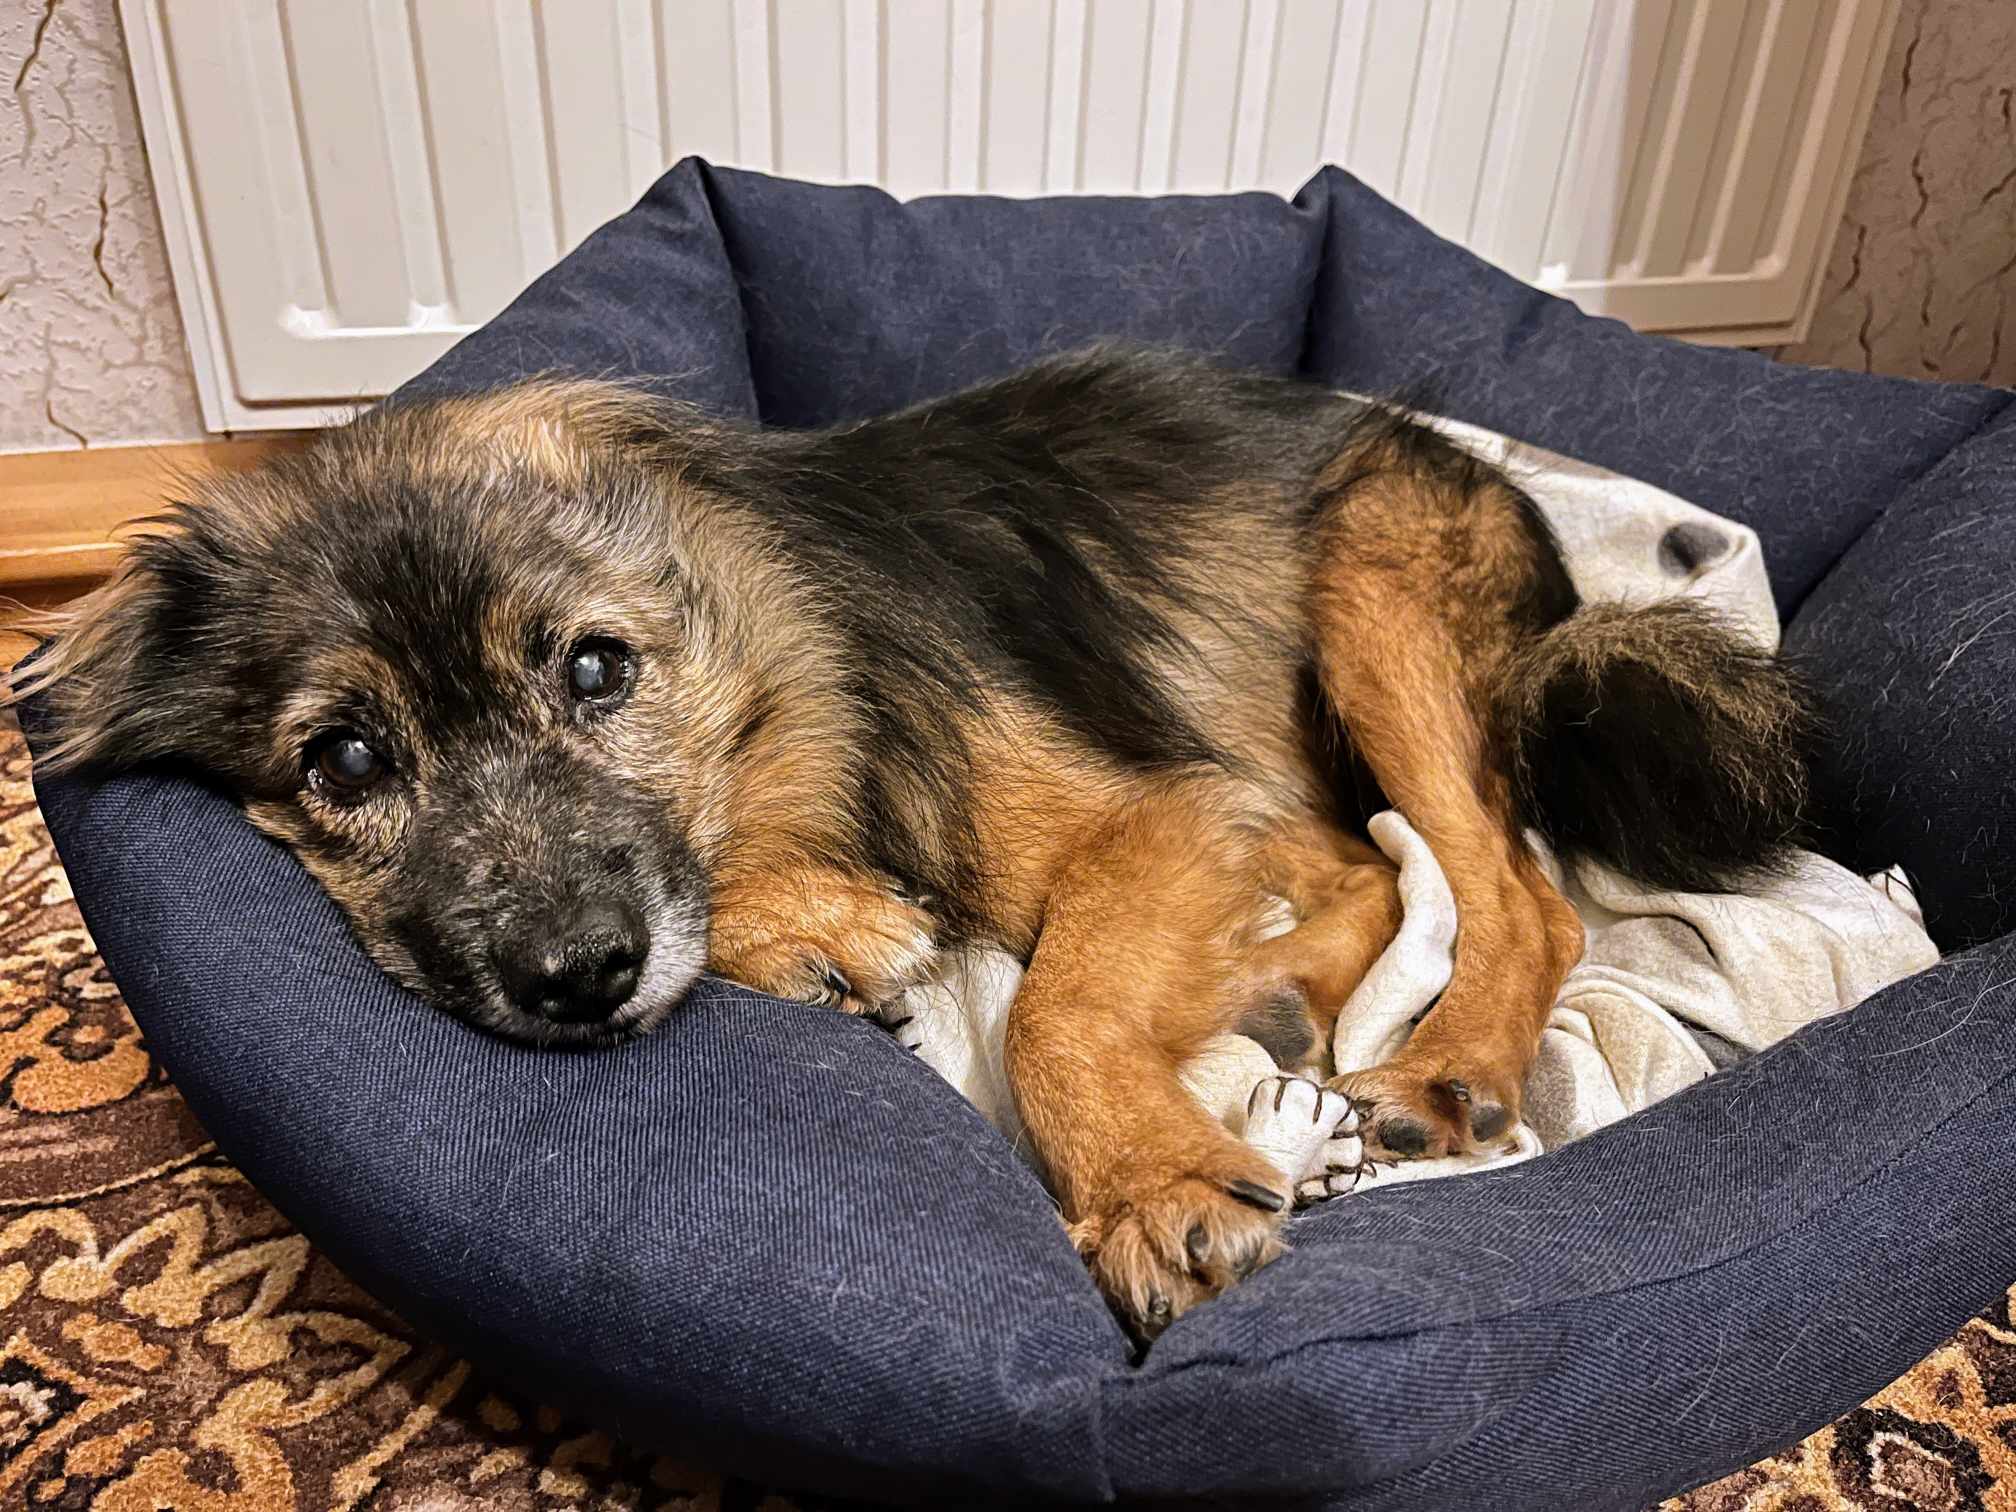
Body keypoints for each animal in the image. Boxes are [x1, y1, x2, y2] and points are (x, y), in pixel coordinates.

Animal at [6, 349, 1812, 1336]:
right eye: (347, 759)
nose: (574, 979)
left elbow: (1060, 1003)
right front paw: (825, 927)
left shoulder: (1166, 806)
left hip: (1378, 599)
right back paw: (1282, 996)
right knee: (1378, 873)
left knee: (1518, 891)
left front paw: (1149, 1183)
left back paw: (1448, 1062)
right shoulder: (1196, 814)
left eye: (593, 668)